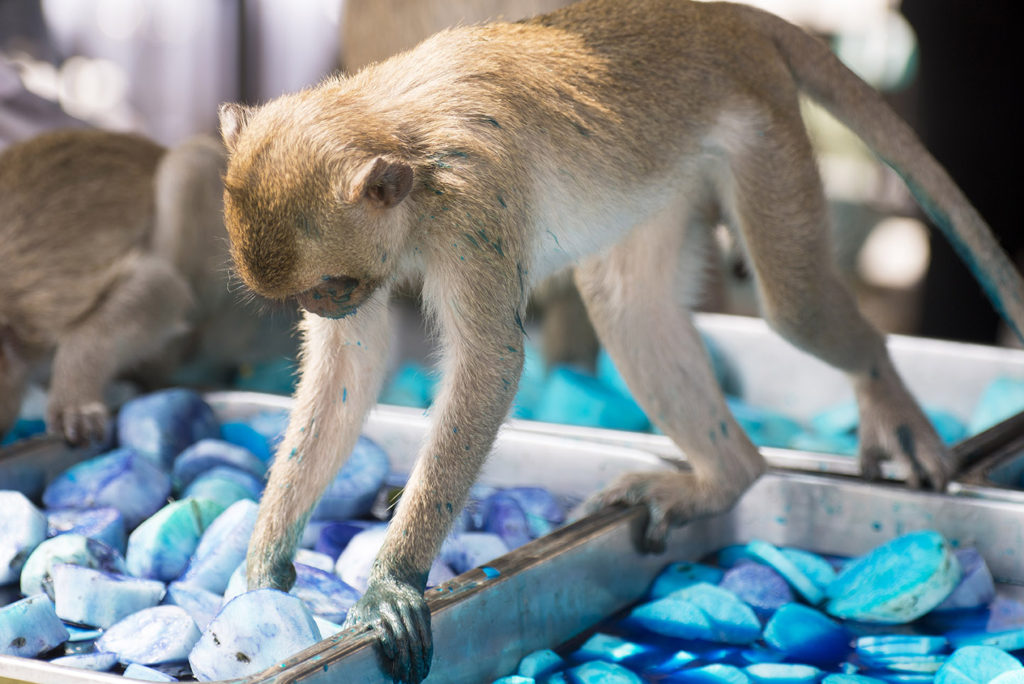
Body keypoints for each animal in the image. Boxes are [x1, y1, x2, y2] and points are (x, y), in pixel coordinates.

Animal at [218, 2, 1024, 679]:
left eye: (330, 288)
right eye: (308, 298)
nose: (326, 308)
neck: (402, 133)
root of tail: (729, 17)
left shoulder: (475, 208)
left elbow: (490, 363)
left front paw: (391, 581)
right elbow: (349, 369)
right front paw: (264, 572)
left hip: (764, 136)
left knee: (793, 304)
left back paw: (879, 394)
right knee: (628, 306)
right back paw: (726, 477)